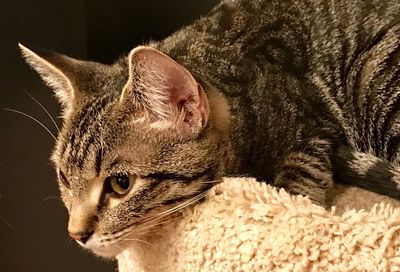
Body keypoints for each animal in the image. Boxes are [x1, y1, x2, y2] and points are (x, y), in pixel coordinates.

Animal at [19, 0, 400, 260]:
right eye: (64, 178)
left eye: (121, 184)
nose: (76, 234)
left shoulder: (309, 135)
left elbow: (293, 194)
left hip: (373, 74)